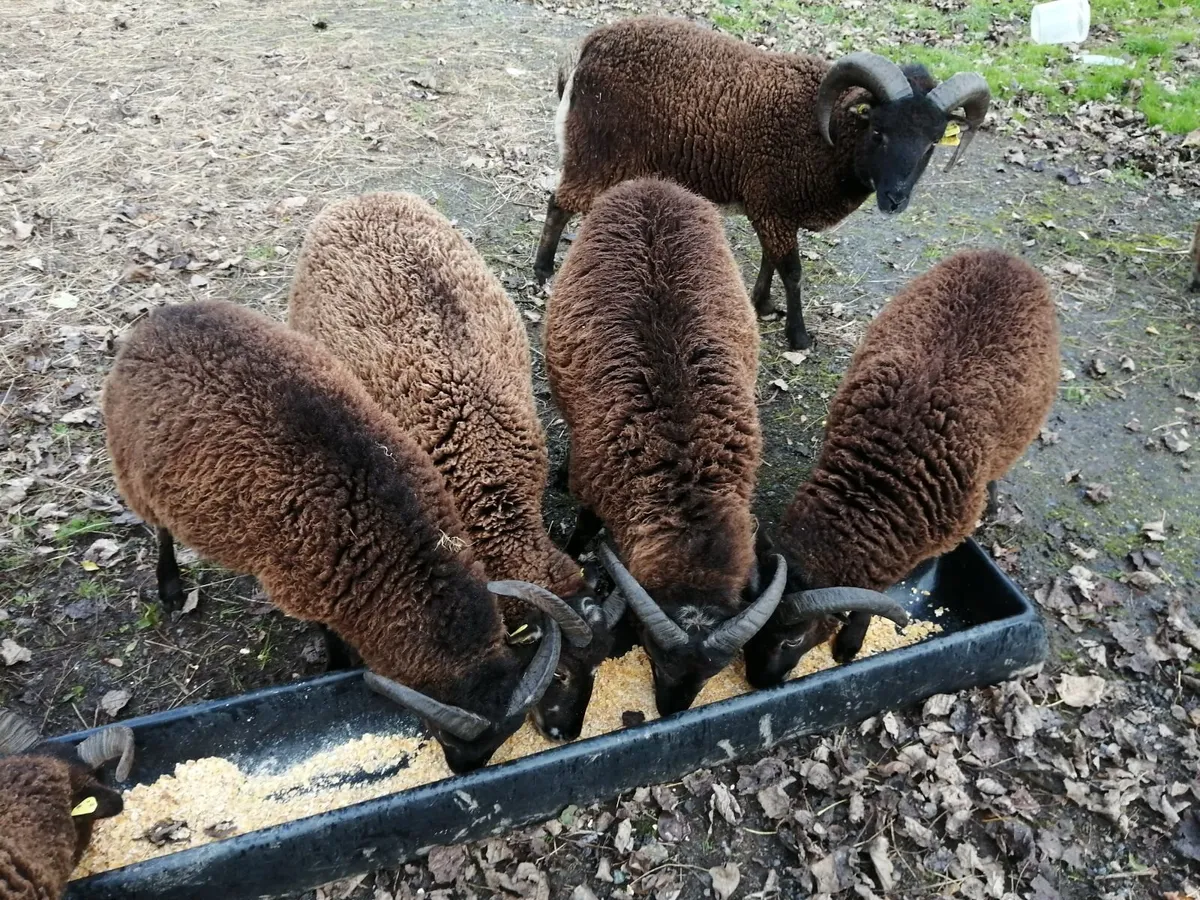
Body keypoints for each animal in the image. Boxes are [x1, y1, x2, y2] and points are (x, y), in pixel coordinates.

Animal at [102, 300, 580, 773]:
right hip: (133, 473)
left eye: (504, 738)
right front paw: (335, 667)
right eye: (444, 733)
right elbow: (329, 634)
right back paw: (170, 588)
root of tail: (159, 319)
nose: (463, 772)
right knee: (161, 530)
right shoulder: (306, 586)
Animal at [533, 16, 991, 351]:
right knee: (559, 202)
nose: (895, 199)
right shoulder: (773, 203)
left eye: (932, 143)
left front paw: (763, 302)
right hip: (594, 153)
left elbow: (771, 259)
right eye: (878, 132)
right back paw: (543, 270)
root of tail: (587, 48)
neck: (828, 134)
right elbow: (793, 270)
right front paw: (799, 336)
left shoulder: (773, 205)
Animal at [544, 177, 790, 716]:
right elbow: (583, 527)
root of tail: (653, 183)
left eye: (718, 669)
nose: (673, 710)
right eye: (653, 651)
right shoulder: (595, 485)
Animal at [743, 249, 1059, 688]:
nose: (759, 682)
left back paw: (993, 504)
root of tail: (1003, 256)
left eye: (794, 639)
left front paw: (849, 645)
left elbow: (868, 603)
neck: (875, 483)